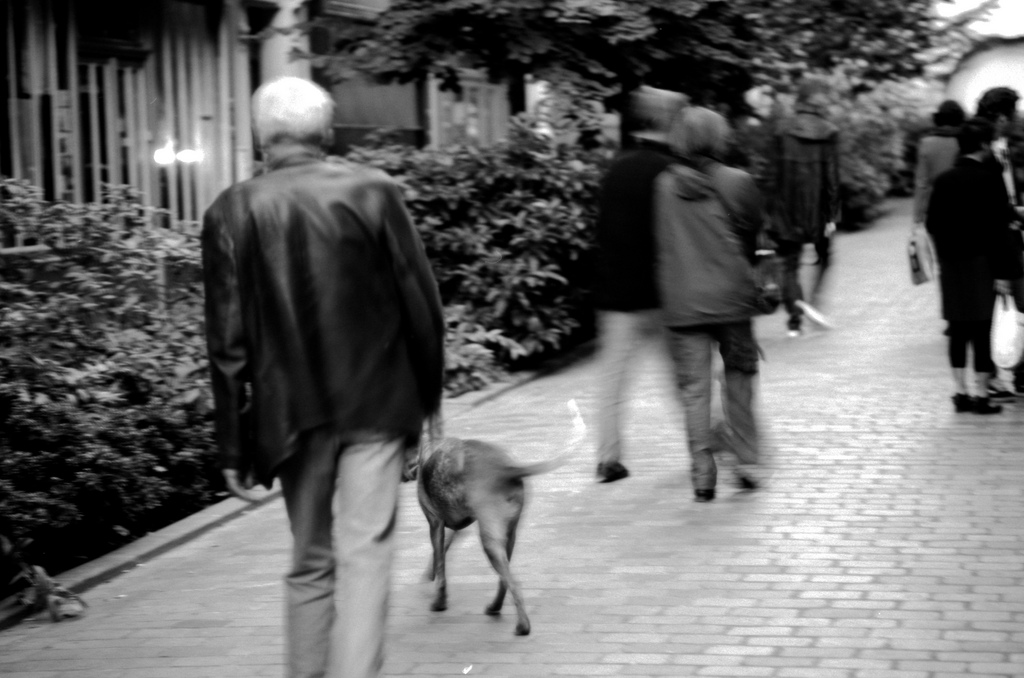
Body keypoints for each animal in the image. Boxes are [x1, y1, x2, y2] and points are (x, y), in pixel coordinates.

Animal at [415, 401, 585, 634]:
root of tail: (506, 469)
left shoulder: (435, 524)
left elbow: (440, 567)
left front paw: (438, 601)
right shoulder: (455, 528)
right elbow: (441, 555)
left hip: (490, 541)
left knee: (513, 583)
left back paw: (522, 626)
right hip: (507, 536)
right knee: (504, 579)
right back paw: (495, 607)